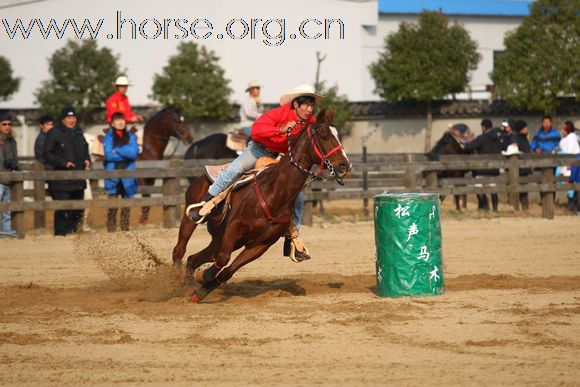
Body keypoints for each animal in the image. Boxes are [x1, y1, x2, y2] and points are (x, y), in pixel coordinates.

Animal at [171, 109, 354, 304]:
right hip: (191, 220)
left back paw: (186, 286)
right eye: (323, 134)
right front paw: (205, 276)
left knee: (193, 259)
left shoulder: (260, 245)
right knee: (180, 250)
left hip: (220, 239)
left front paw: (198, 292)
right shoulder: (234, 227)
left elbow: (227, 271)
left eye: (339, 136)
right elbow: (224, 258)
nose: (345, 166)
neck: (274, 192)